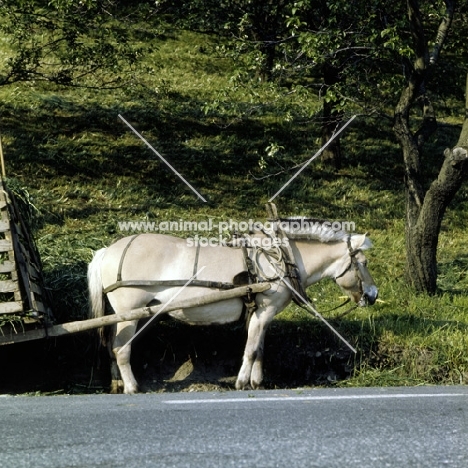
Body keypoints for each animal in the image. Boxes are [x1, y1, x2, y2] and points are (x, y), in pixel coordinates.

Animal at [88, 221, 378, 394]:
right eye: (363, 263)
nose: (373, 295)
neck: (280, 260)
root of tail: (107, 250)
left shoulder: (262, 315)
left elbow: (259, 349)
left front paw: (257, 382)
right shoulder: (264, 311)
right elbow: (250, 350)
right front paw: (241, 383)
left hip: (122, 315)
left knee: (111, 347)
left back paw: (116, 383)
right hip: (130, 314)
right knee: (121, 349)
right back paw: (132, 387)